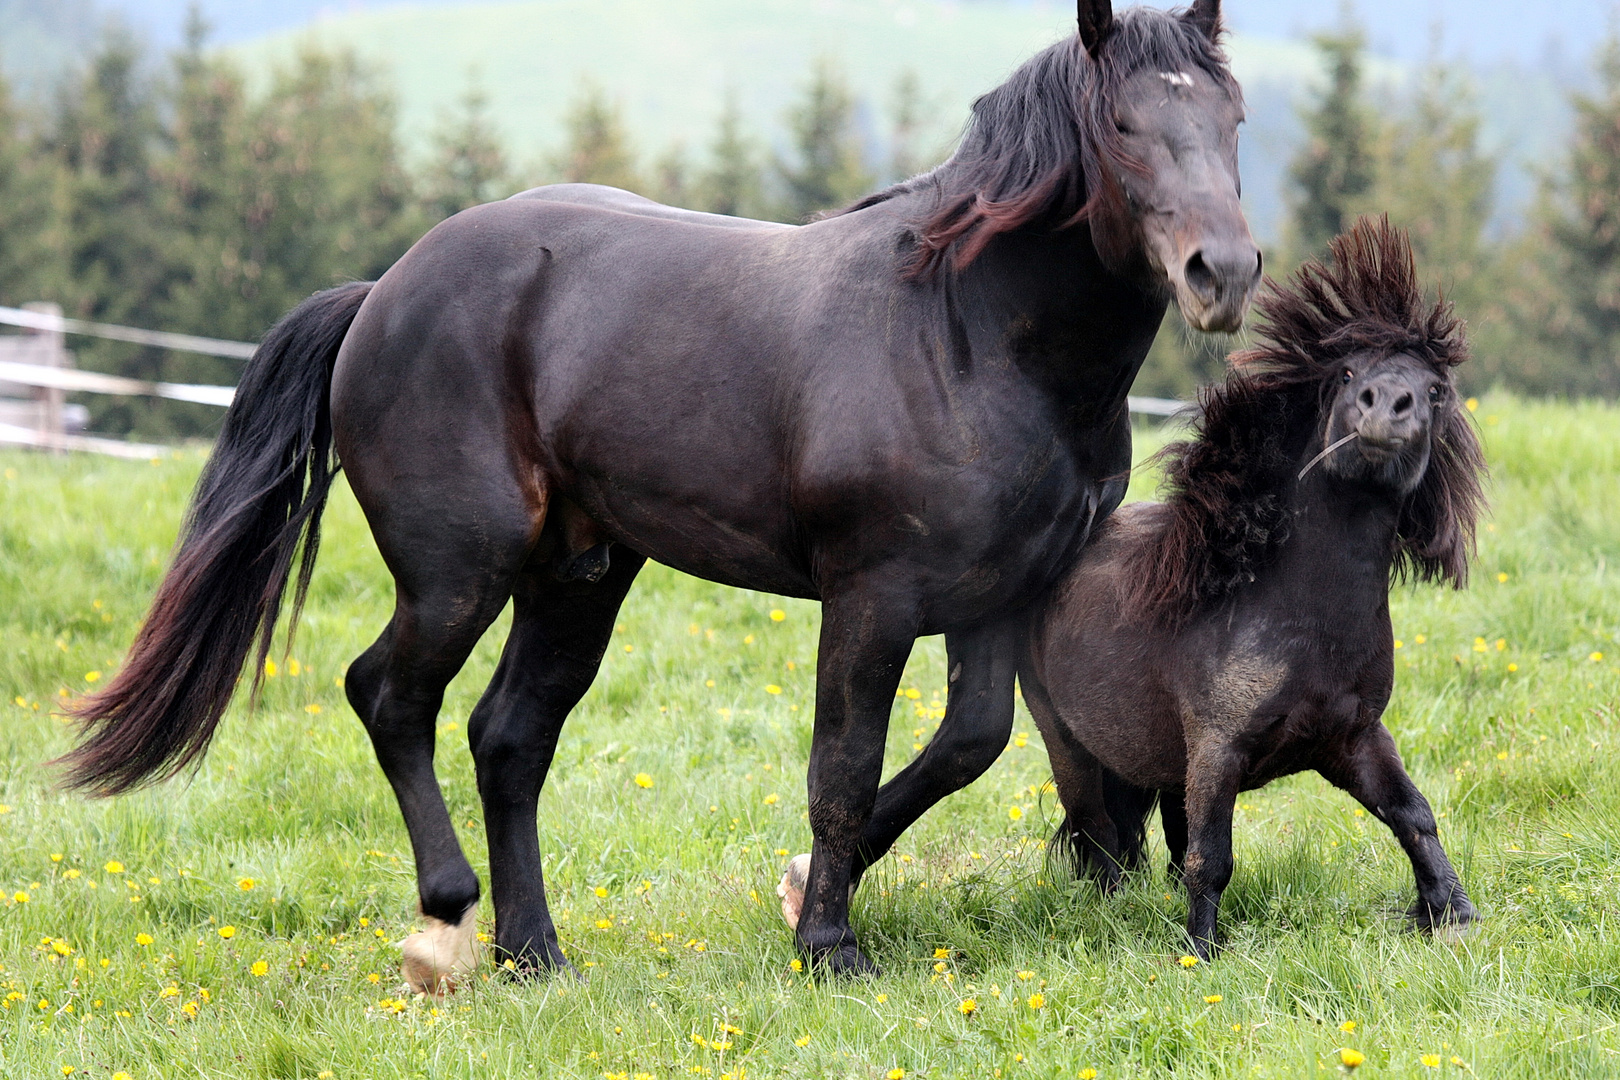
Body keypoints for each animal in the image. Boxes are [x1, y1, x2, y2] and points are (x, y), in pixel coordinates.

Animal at [63, 0, 1257, 990]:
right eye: (1122, 128)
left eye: (1233, 120)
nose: (1225, 273)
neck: (964, 334)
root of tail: (382, 293)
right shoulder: (871, 598)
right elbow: (842, 766)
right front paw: (828, 945)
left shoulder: (1002, 595)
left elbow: (965, 745)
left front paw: (805, 890)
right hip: (459, 570)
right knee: (390, 697)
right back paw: (446, 921)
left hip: (576, 578)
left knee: (508, 738)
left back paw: (534, 954)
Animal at [1017, 216, 1483, 952]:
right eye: (1346, 372)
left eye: (1436, 388)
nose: (1386, 407)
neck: (1300, 618)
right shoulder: (1218, 749)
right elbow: (1213, 856)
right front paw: (1199, 952)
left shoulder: (1354, 738)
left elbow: (1413, 813)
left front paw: (1451, 913)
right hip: (1067, 740)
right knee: (1099, 837)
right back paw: (1111, 913)